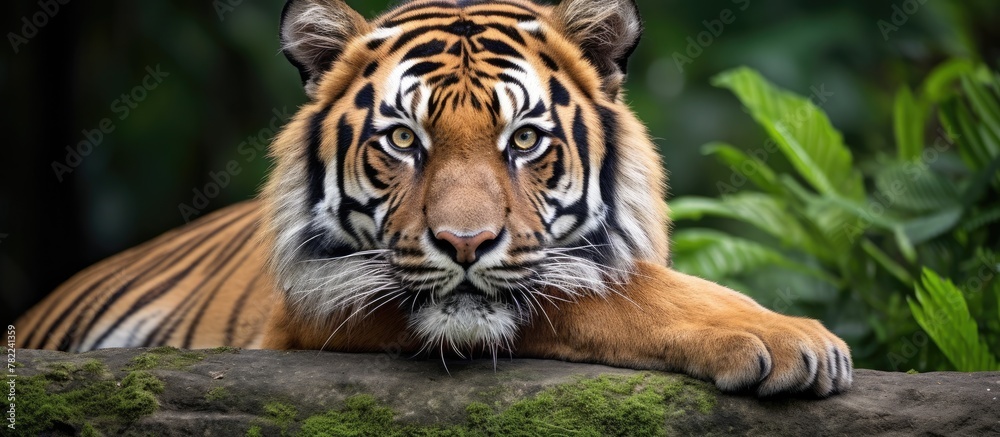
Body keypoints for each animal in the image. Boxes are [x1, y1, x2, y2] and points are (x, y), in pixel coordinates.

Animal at [15, 0, 852, 397]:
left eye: (523, 139)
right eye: (402, 139)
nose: (465, 245)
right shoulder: (314, 309)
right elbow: (608, 294)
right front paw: (791, 338)